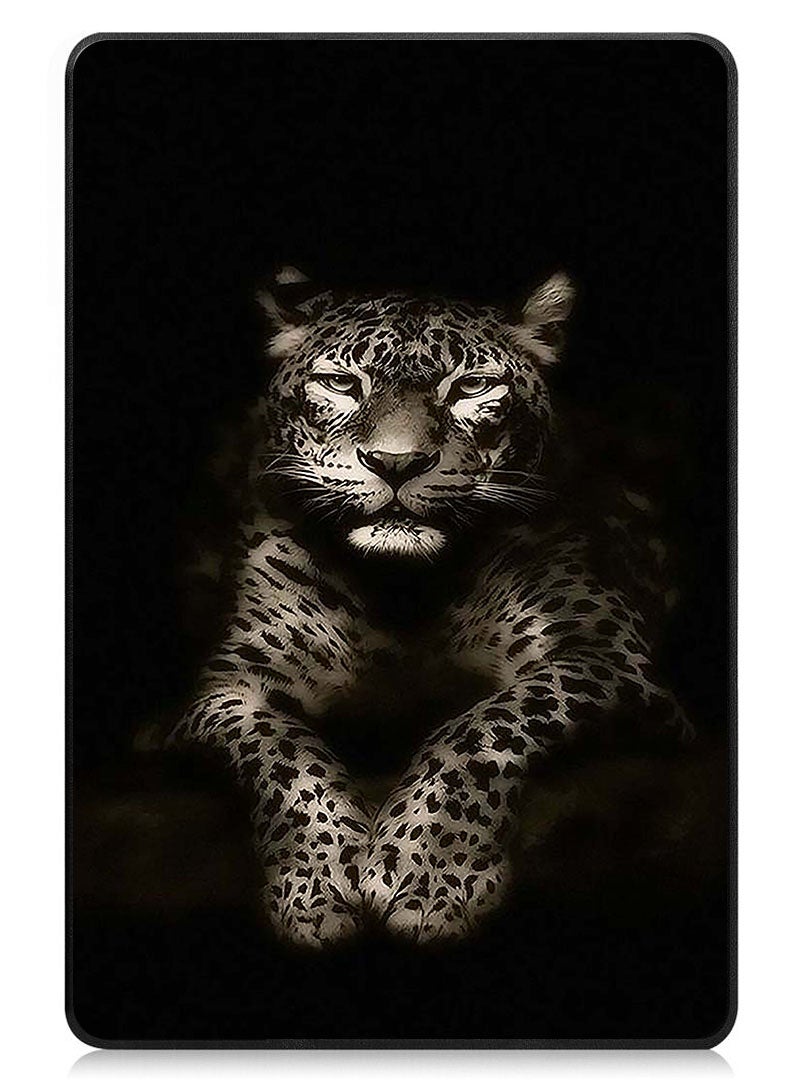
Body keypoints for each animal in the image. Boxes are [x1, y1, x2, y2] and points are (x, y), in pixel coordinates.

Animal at [167, 266, 693, 949]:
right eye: (342, 383)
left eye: (472, 386)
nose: (397, 463)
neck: (405, 592)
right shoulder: (230, 686)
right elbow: (284, 758)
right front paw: (318, 888)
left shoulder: (603, 653)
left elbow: (485, 728)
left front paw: (428, 874)